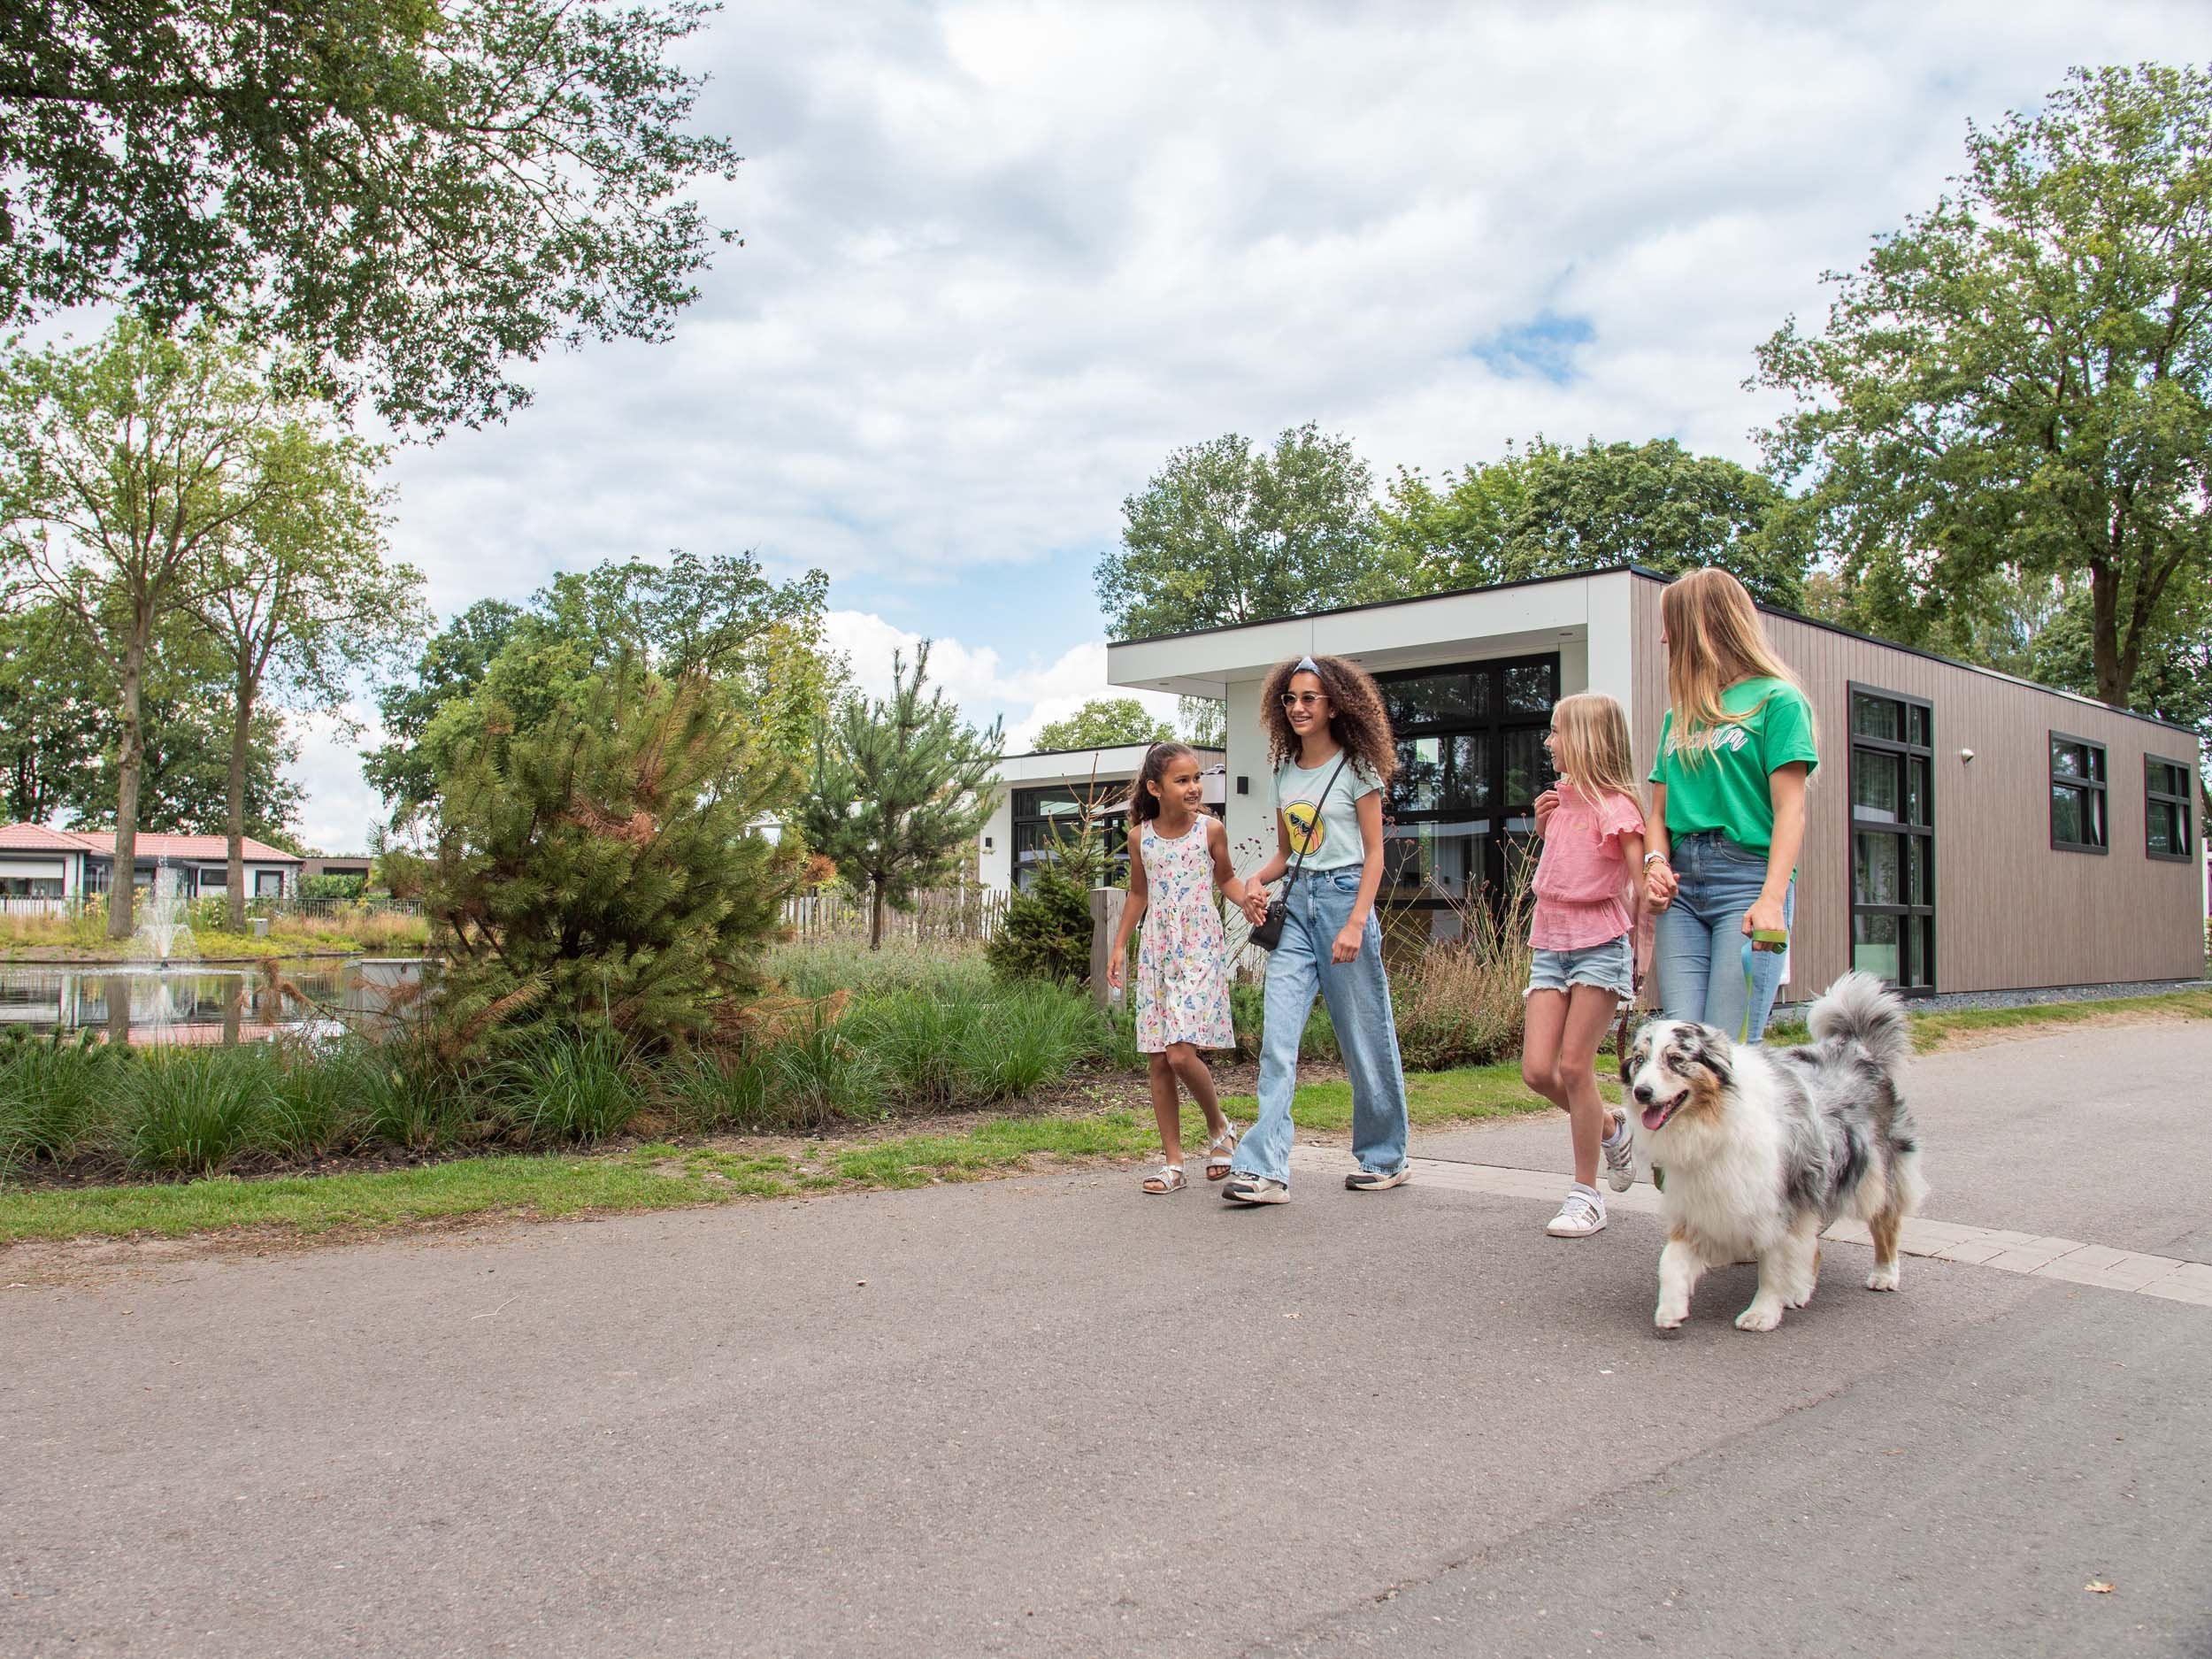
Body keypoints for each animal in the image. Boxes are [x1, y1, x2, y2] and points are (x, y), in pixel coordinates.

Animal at [1619, 973, 1929, 1336]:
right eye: (1639, 1059)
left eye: (1676, 1060)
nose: (1642, 1093)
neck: (1716, 1119)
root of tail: (1857, 1047)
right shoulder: (1701, 1199)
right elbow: (1670, 1259)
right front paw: (1671, 1308)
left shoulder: (1781, 1202)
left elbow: (1774, 1265)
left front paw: (1762, 1312)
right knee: (1814, 1247)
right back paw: (1801, 1289)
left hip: (1875, 1173)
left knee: (1885, 1222)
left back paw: (1884, 1273)